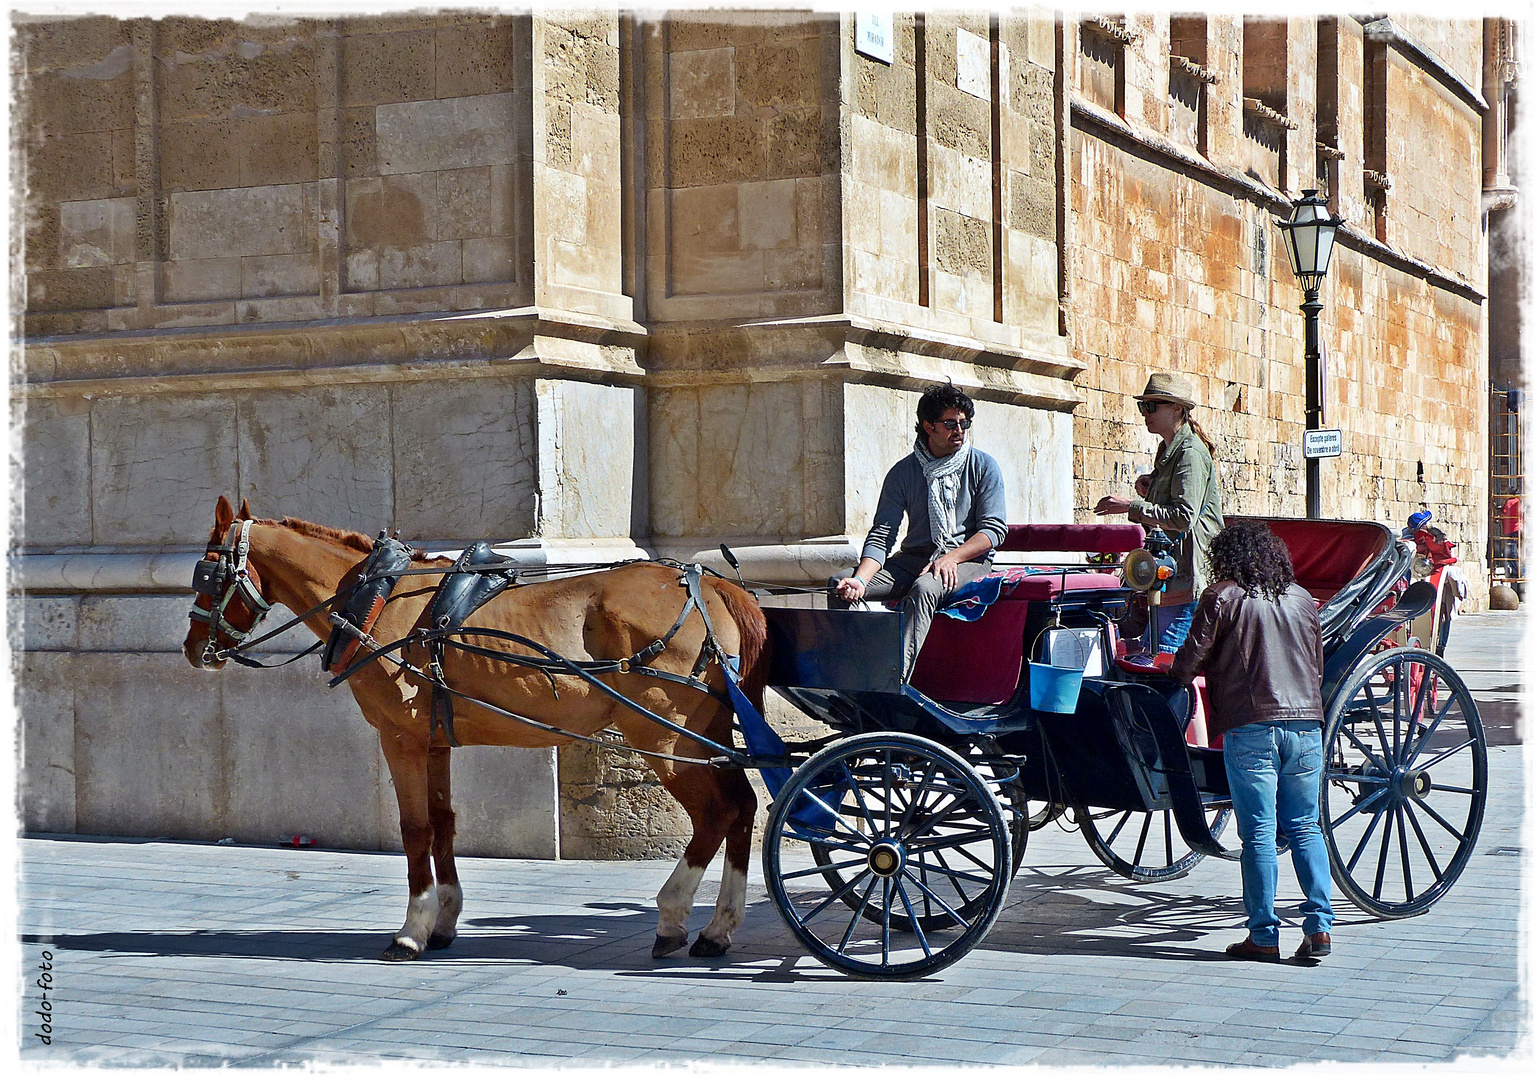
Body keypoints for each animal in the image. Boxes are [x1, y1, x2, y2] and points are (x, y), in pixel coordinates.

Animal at [181, 498, 769, 966]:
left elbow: (415, 828)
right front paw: (444, 921)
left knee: (717, 812)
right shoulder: (434, 741)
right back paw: (718, 929)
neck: (381, 602)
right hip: (707, 732)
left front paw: (412, 929)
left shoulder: (401, 739)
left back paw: (673, 916)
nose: (191, 650)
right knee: (743, 806)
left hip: (663, 736)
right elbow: (443, 823)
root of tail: (713, 584)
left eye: (207, 574)